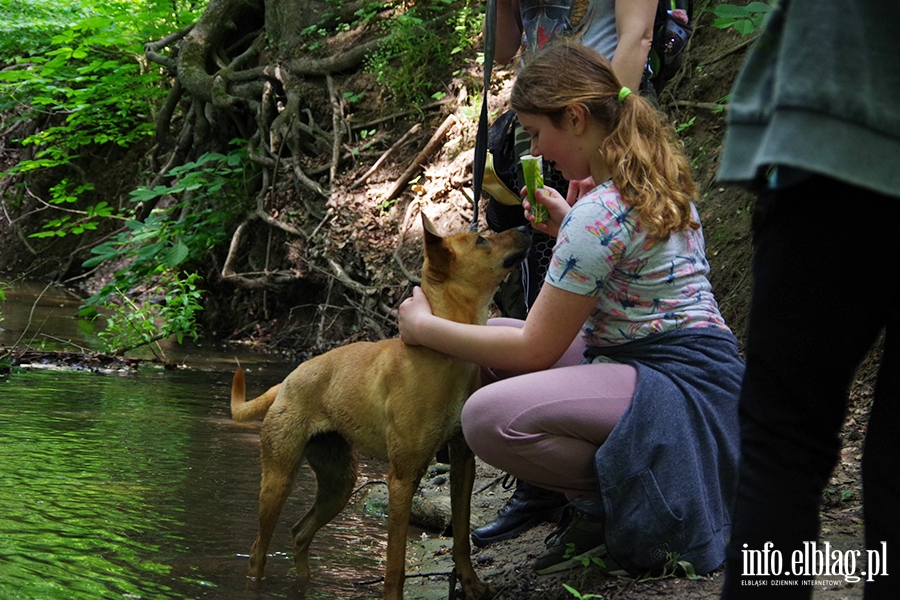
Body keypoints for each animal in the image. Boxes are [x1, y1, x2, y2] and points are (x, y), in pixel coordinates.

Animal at [229, 216, 532, 600]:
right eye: (481, 240)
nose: (526, 225)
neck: (443, 348)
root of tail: (285, 382)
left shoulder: (463, 462)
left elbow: (461, 537)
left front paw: (472, 584)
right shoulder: (402, 478)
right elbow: (395, 565)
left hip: (339, 482)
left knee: (299, 532)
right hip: (278, 479)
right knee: (258, 550)